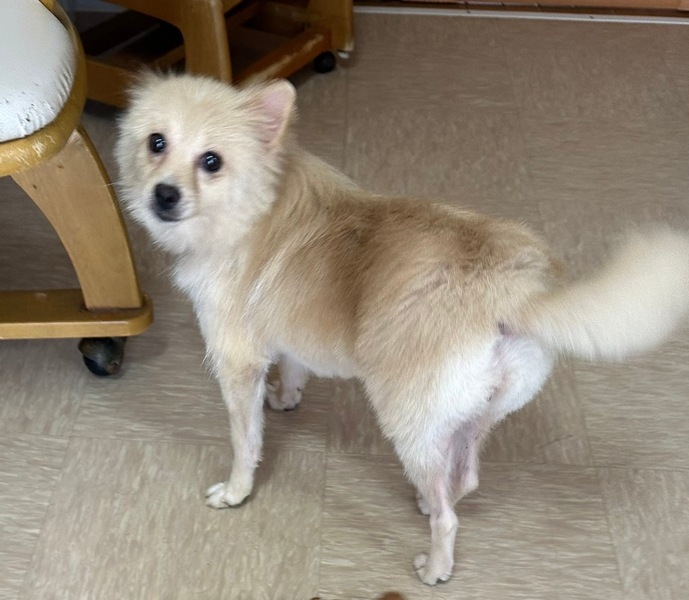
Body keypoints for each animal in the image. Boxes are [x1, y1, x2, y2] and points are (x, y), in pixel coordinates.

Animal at [115, 73, 689, 585]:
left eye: (211, 162)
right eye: (156, 143)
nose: (163, 195)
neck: (255, 202)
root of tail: (515, 289)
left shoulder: (236, 363)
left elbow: (244, 440)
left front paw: (237, 490)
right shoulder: (286, 330)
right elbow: (295, 365)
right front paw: (287, 397)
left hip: (406, 419)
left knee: (449, 515)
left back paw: (436, 567)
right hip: (473, 413)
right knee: (462, 478)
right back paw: (428, 501)